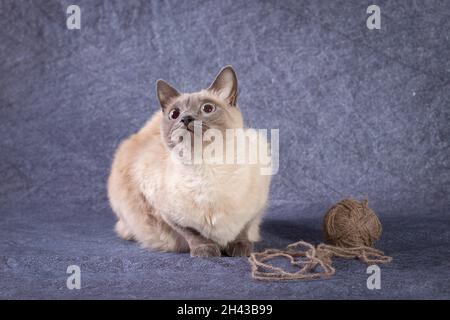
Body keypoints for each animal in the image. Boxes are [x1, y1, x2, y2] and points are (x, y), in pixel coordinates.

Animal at [107, 65, 272, 258]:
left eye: (207, 108)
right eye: (174, 113)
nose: (185, 118)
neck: (207, 165)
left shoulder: (256, 207)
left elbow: (243, 229)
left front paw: (240, 249)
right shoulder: (164, 211)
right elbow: (192, 233)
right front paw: (206, 250)